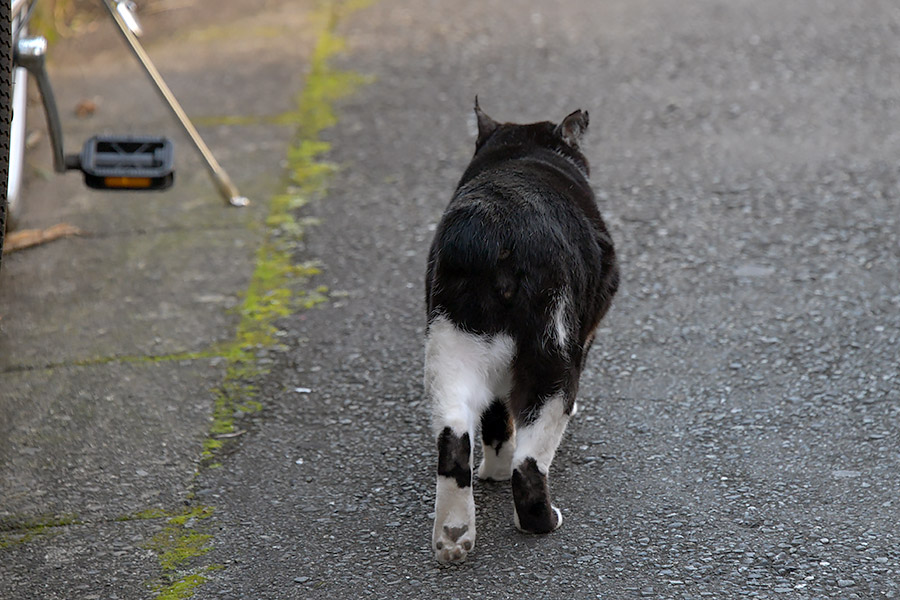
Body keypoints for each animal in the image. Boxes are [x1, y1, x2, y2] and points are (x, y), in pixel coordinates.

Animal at [422, 99, 620, 564]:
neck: (523, 152)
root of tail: (499, 230)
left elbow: (497, 417)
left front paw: (493, 469)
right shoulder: (584, 333)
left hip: (452, 346)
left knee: (455, 435)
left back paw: (454, 535)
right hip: (553, 352)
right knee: (529, 463)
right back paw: (541, 523)